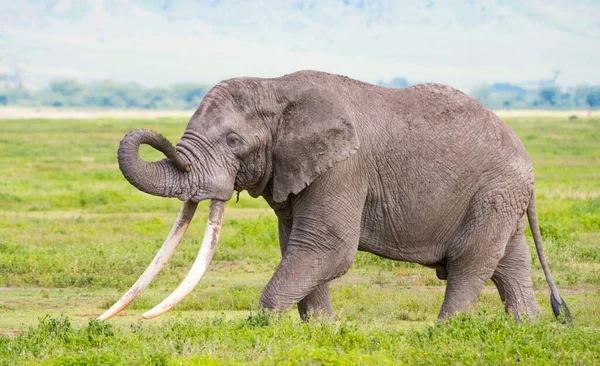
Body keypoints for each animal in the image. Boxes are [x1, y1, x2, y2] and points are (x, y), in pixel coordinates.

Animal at [96, 70, 568, 322]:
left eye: (233, 141)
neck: (276, 88)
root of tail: (526, 159)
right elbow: (298, 246)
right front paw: (319, 331)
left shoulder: (344, 168)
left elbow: (326, 248)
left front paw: (264, 325)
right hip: (501, 197)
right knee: (509, 262)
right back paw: (525, 331)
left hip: (495, 191)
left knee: (471, 263)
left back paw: (445, 333)